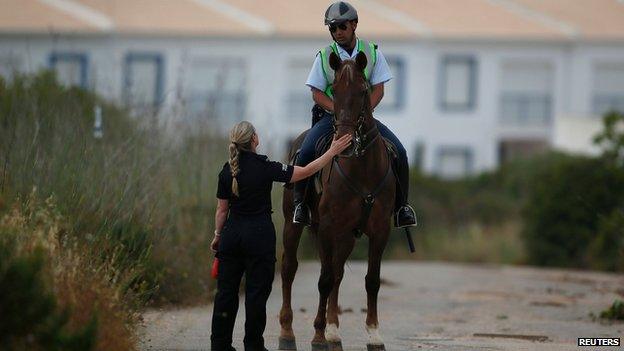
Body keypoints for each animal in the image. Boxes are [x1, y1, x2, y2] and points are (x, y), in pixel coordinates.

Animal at [280, 51, 394, 351]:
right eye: (335, 89)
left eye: (363, 90)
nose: (345, 142)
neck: (361, 169)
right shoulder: (329, 226)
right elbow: (324, 280)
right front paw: (318, 336)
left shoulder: (380, 230)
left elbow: (371, 280)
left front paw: (374, 334)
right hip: (295, 225)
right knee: (290, 269)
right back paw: (287, 331)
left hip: (345, 236)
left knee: (338, 271)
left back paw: (333, 329)